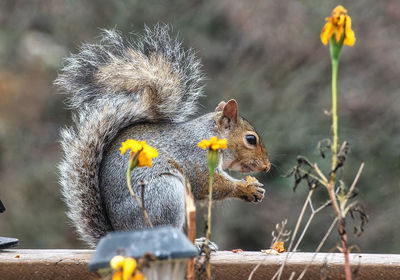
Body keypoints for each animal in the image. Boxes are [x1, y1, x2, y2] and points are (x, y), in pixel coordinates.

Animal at [54, 24, 270, 247]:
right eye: (251, 139)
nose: (267, 166)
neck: (209, 134)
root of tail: (124, 238)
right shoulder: (196, 159)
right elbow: (209, 185)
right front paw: (248, 189)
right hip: (165, 195)